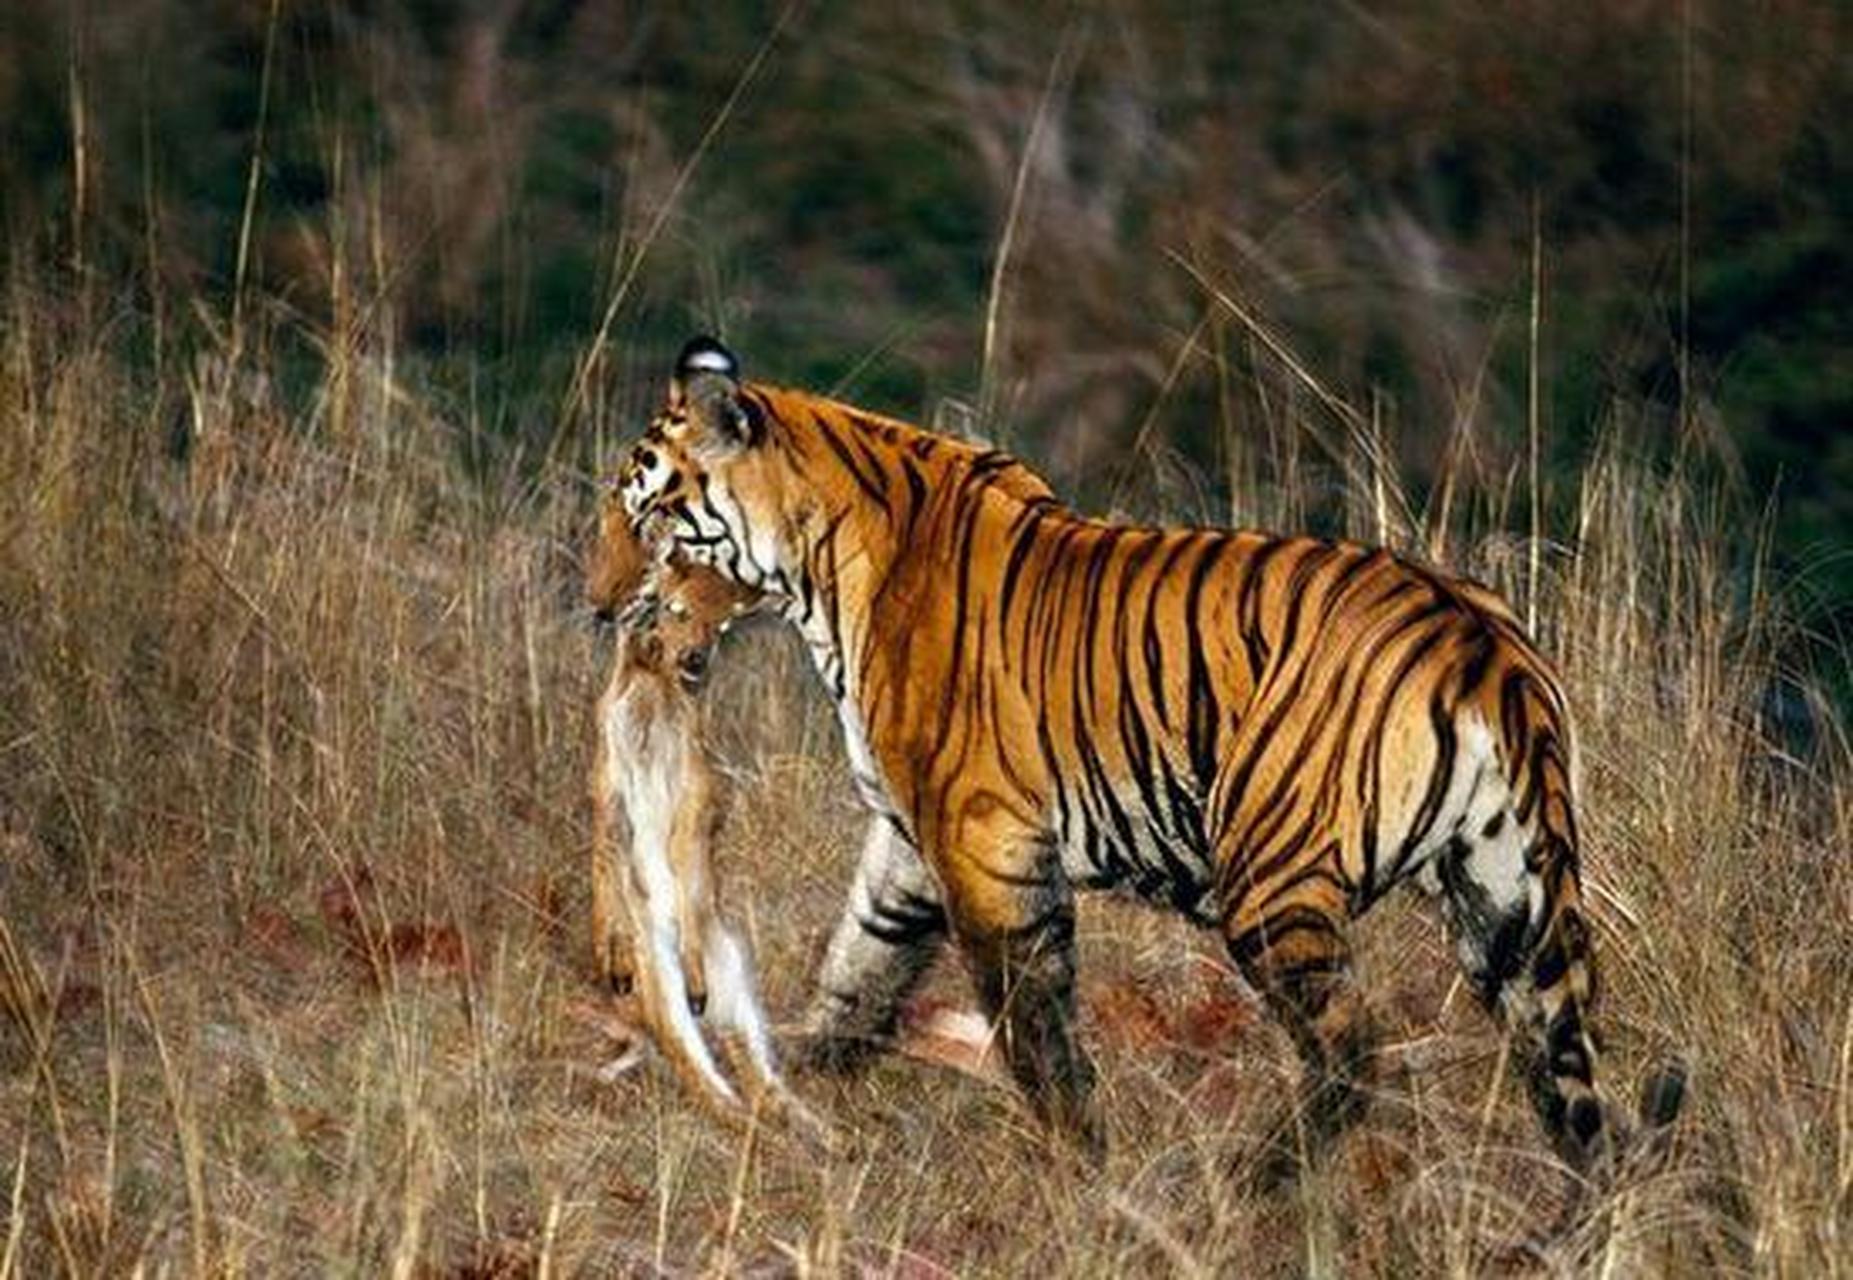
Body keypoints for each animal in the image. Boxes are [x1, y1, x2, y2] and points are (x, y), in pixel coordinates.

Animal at [617, 335, 1683, 1183]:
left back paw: (1250, 1182)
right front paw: (786, 1088)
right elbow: (857, 975)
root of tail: (1480, 637)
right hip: (1509, 902)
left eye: (648, 515)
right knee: (1568, 1079)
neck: (817, 565)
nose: (605, 606)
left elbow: (1034, 1025)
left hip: (1272, 877)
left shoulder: (981, 840)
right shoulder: (909, 841)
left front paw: (1082, 1168)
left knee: (1353, 1052)